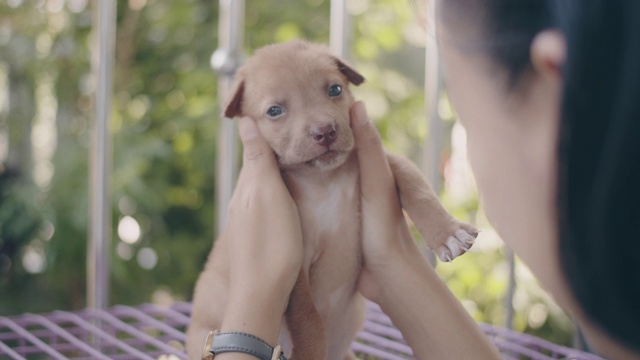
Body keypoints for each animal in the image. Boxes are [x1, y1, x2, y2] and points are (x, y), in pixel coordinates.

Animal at [188, 40, 478, 358]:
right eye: (275, 111)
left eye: (335, 90)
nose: (325, 132)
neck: (324, 180)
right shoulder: (296, 263)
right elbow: (308, 320)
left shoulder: (387, 162)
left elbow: (418, 187)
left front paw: (449, 233)